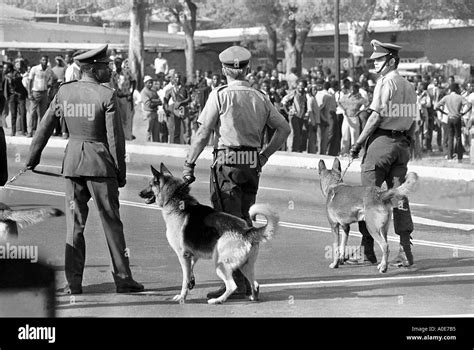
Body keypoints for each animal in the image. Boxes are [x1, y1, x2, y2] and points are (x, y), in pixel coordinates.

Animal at [139, 164, 280, 304]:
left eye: (150, 184)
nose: (139, 193)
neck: (175, 198)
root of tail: (247, 230)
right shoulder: (192, 256)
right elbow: (190, 275)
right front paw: (190, 285)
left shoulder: (183, 256)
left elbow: (185, 280)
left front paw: (182, 297)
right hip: (245, 266)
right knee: (255, 284)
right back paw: (252, 298)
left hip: (220, 264)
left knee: (232, 286)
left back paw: (217, 300)